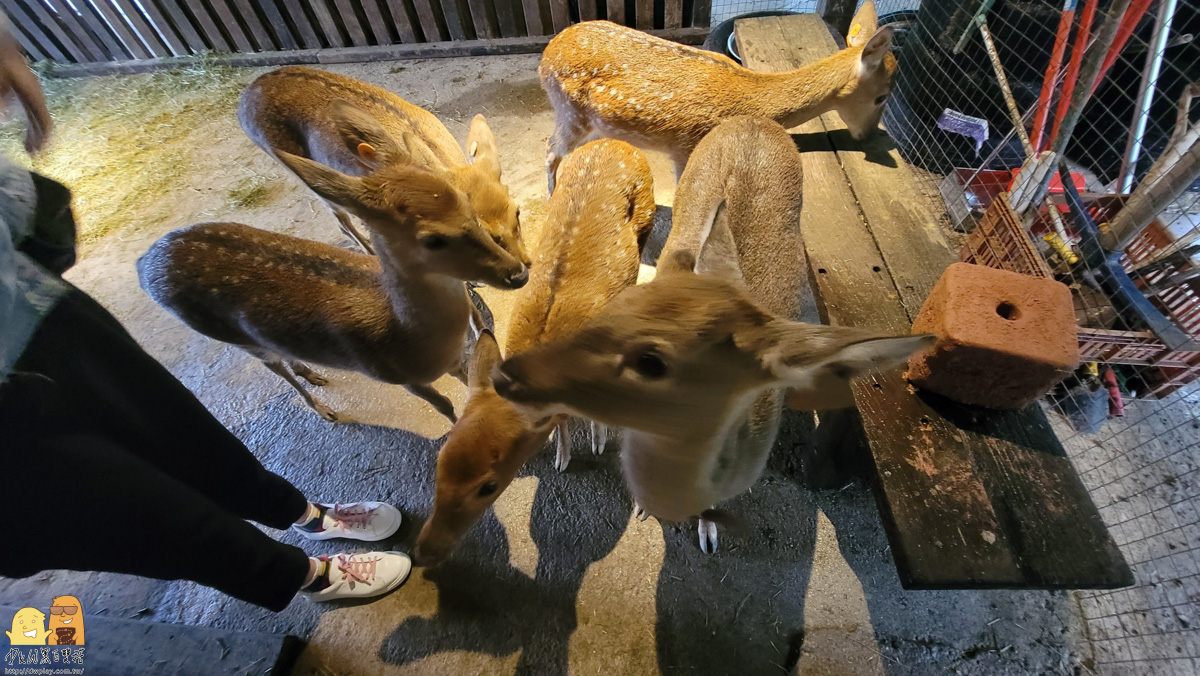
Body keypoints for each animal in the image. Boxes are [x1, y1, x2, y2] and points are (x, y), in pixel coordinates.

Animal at [138, 157, 528, 425]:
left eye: (468, 203)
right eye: (433, 239)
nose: (518, 273)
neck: (406, 335)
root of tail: (145, 263)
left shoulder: (454, 358)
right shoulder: (394, 375)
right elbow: (444, 404)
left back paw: (312, 372)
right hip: (232, 336)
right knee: (274, 368)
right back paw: (325, 410)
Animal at [415, 138, 657, 566]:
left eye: (488, 486)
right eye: (438, 463)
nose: (424, 551)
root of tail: (616, 142)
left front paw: (594, 441)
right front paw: (562, 454)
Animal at [492, 118, 931, 552]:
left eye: (651, 362)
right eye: (622, 304)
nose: (505, 376)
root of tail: (753, 120)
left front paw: (708, 534)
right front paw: (646, 509)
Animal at [540, 2, 897, 193]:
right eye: (882, 97)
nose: (868, 136)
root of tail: (546, 56)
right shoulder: (685, 148)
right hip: (570, 112)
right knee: (550, 149)